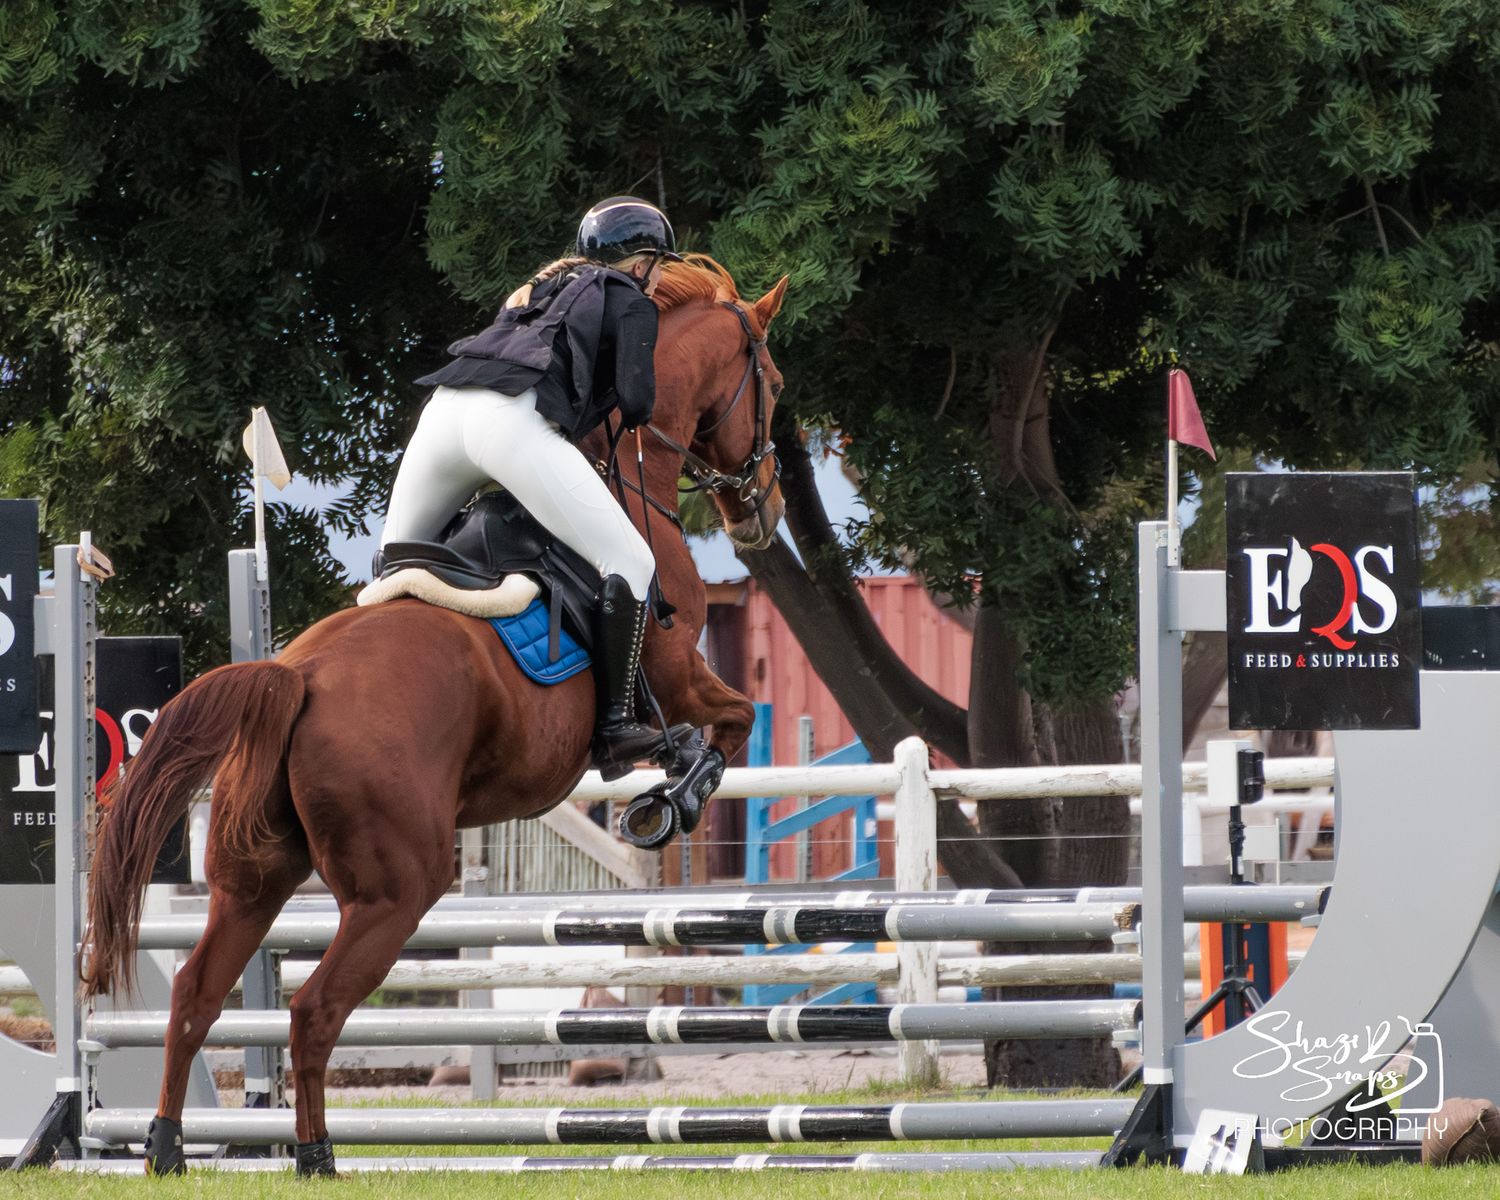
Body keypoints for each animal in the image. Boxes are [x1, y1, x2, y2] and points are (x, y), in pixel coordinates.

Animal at [79, 255, 788, 1176]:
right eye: (771, 384)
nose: (763, 513)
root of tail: (293, 678)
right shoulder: (679, 671)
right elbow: (730, 723)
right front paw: (671, 798)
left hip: (253, 877)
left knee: (197, 996)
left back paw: (166, 1149)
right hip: (398, 890)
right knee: (313, 1010)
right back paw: (314, 1155)